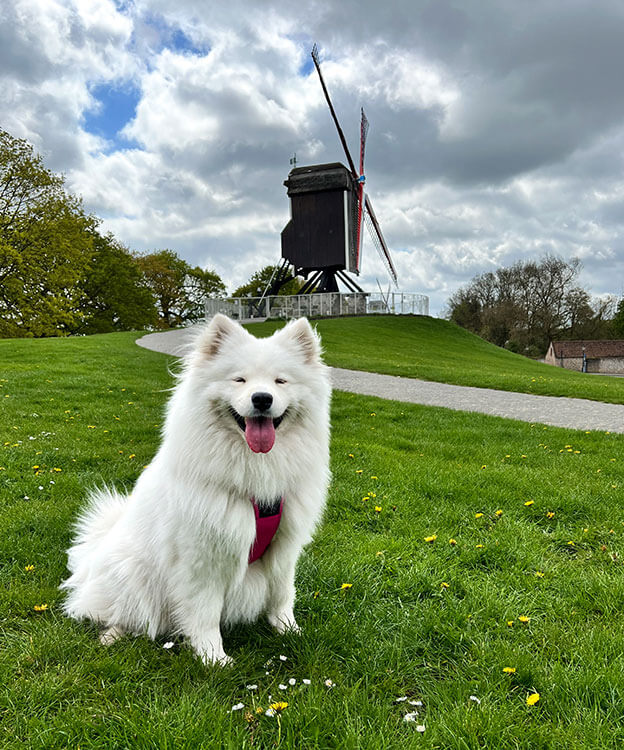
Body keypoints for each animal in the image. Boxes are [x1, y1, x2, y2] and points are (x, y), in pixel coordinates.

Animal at [60, 314, 332, 668]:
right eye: (239, 380)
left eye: (280, 381)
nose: (262, 398)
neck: (255, 476)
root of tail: (92, 556)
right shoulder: (201, 559)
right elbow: (205, 614)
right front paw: (213, 658)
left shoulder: (284, 549)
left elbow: (283, 596)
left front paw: (289, 632)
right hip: (134, 575)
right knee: (113, 612)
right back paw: (112, 635)